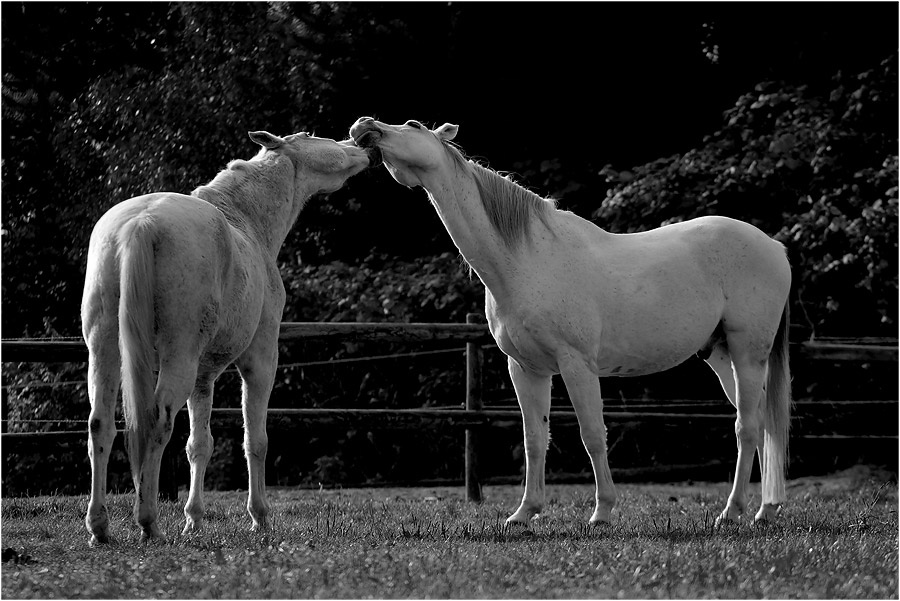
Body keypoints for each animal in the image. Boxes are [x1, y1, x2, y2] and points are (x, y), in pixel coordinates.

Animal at [81, 130, 378, 544]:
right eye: (310, 135)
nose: (362, 145)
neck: (245, 220)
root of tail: (141, 224)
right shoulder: (260, 360)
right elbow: (256, 439)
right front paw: (259, 517)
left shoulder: (203, 377)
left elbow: (199, 445)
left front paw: (193, 520)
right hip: (177, 358)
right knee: (156, 423)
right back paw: (149, 523)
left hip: (105, 352)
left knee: (101, 426)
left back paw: (99, 527)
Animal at [350, 117, 792, 527]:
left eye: (413, 124)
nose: (363, 127)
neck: (526, 258)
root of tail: (774, 246)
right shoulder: (526, 369)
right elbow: (534, 440)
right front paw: (524, 513)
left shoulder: (576, 365)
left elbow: (592, 435)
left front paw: (602, 512)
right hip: (720, 356)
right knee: (762, 425)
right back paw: (765, 509)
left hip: (747, 354)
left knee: (747, 427)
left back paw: (733, 512)